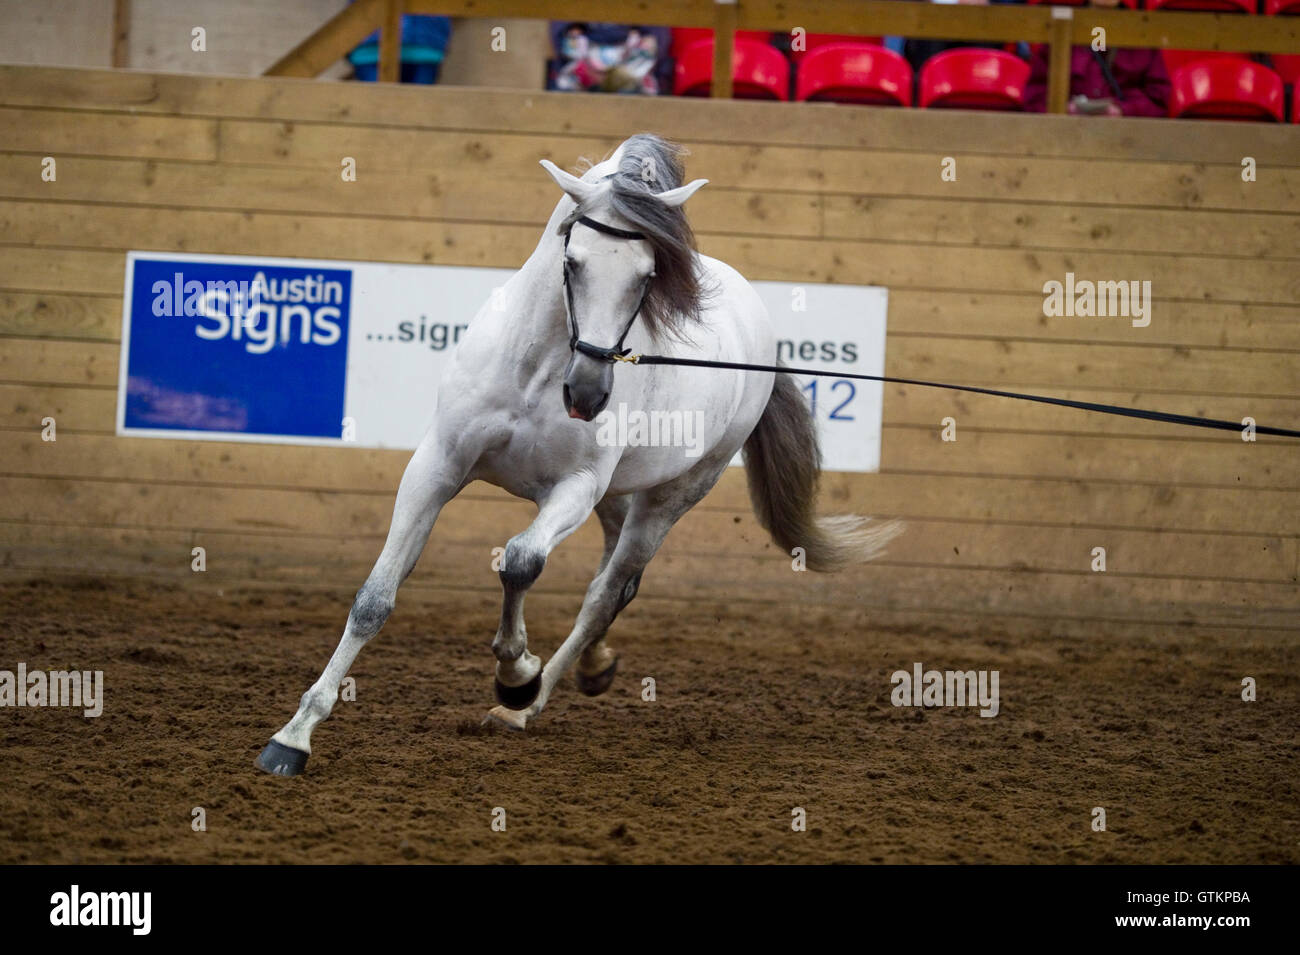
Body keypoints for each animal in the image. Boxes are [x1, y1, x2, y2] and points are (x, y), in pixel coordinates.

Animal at [258, 134, 899, 779]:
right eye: (573, 263)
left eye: (648, 276)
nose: (587, 394)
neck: (536, 368)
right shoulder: (437, 468)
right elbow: (374, 599)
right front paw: (292, 738)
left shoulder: (575, 487)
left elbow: (520, 562)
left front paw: (516, 675)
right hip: (616, 497)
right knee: (616, 580)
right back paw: (592, 668)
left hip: (672, 496)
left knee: (605, 594)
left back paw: (526, 705)